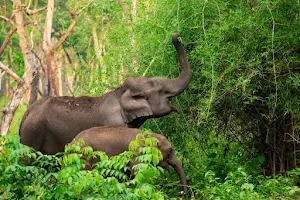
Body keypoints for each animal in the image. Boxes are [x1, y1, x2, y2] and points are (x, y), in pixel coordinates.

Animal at [19, 33, 192, 154]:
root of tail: (25, 115)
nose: (178, 35)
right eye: (161, 90)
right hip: (32, 135)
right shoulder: (115, 124)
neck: (119, 92)